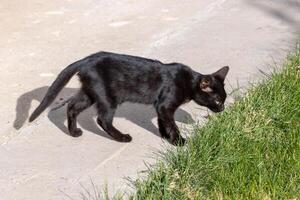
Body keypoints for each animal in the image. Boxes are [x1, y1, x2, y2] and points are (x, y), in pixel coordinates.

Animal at [29, 51, 229, 145]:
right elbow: (171, 123)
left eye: (223, 101)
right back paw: (122, 137)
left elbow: (163, 122)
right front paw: (178, 142)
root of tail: (86, 60)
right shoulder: (165, 105)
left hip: (90, 93)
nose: (222, 109)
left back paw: (74, 132)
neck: (188, 81)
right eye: (218, 101)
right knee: (103, 120)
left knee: (72, 105)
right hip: (107, 97)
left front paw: (165, 137)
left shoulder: (161, 107)